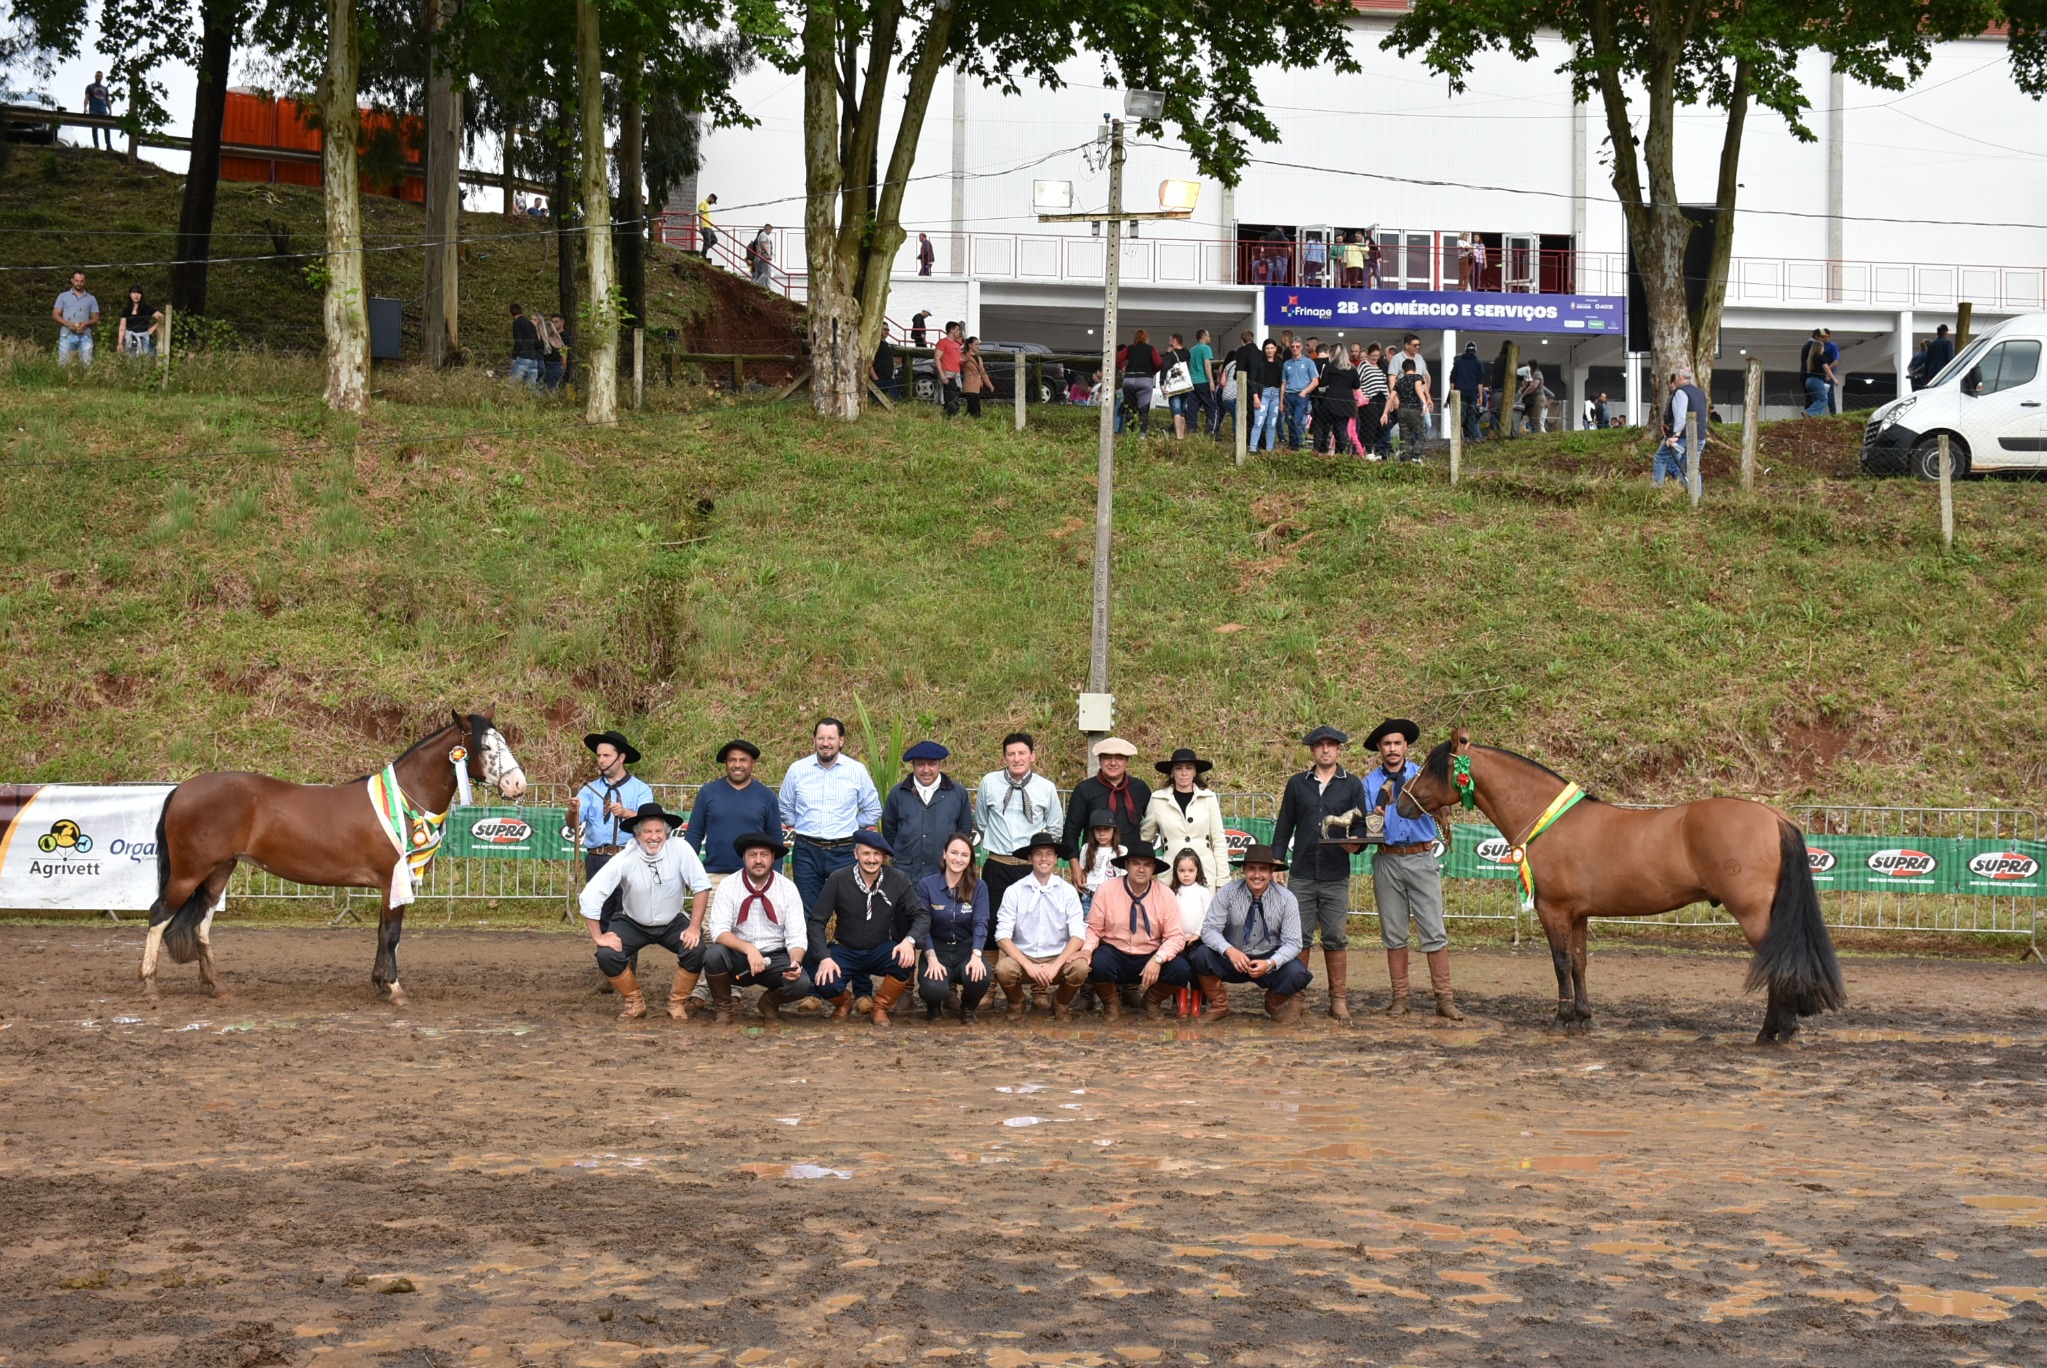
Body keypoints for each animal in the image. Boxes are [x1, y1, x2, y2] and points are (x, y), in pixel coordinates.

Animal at [141, 716, 528, 1003]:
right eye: (486, 746)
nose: (518, 784)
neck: (403, 798)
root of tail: (181, 789)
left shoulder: (389, 885)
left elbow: (383, 932)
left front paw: (379, 982)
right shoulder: (393, 879)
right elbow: (391, 934)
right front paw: (393, 988)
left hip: (220, 870)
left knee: (201, 924)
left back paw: (215, 986)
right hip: (189, 873)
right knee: (159, 915)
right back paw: (150, 984)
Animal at [1400, 733, 1850, 1040]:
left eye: (1430, 767)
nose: (1400, 801)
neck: (1549, 819)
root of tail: (1774, 816)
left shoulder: (1553, 910)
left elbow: (1560, 963)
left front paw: (1560, 1019)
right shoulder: (1578, 915)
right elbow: (1579, 963)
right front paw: (1583, 1018)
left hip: (1755, 915)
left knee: (1777, 962)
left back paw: (1773, 1030)